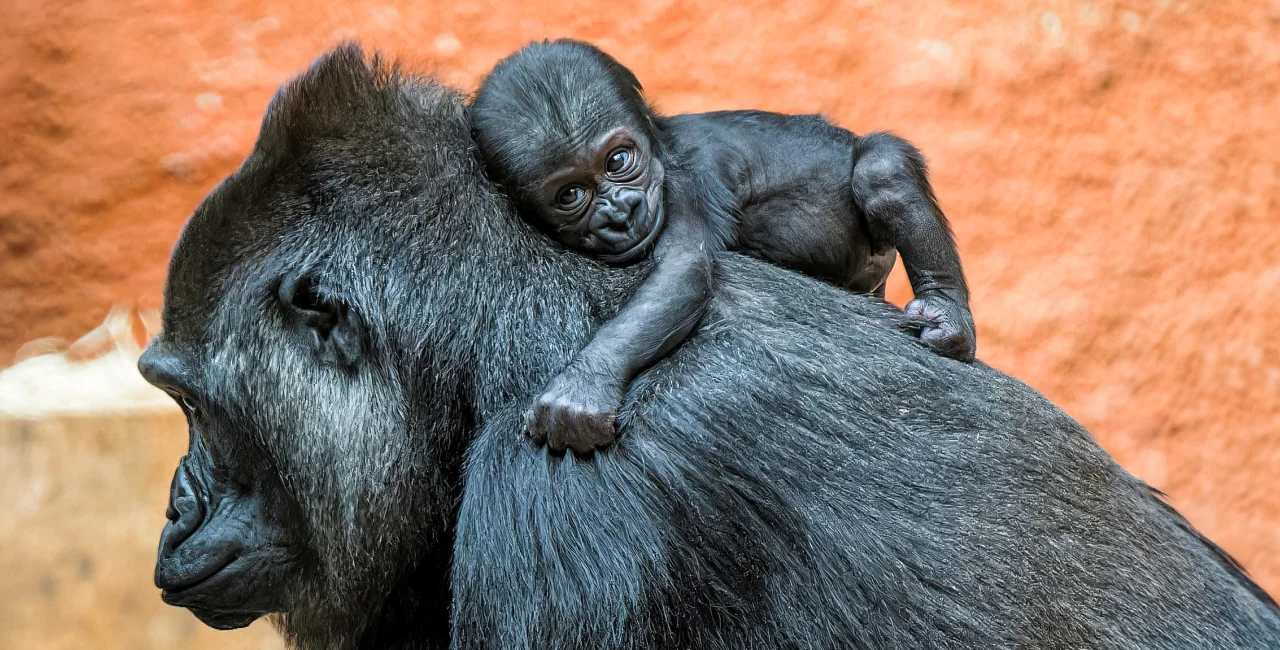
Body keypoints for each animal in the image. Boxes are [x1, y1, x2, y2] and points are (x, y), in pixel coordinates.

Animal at [476, 39, 972, 452]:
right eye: (570, 195)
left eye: (618, 159)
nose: (620, 211)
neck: (660, 148)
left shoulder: (687, 181)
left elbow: (682, 269)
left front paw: (583, 383)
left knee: (881, 172)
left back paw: (947, 312)